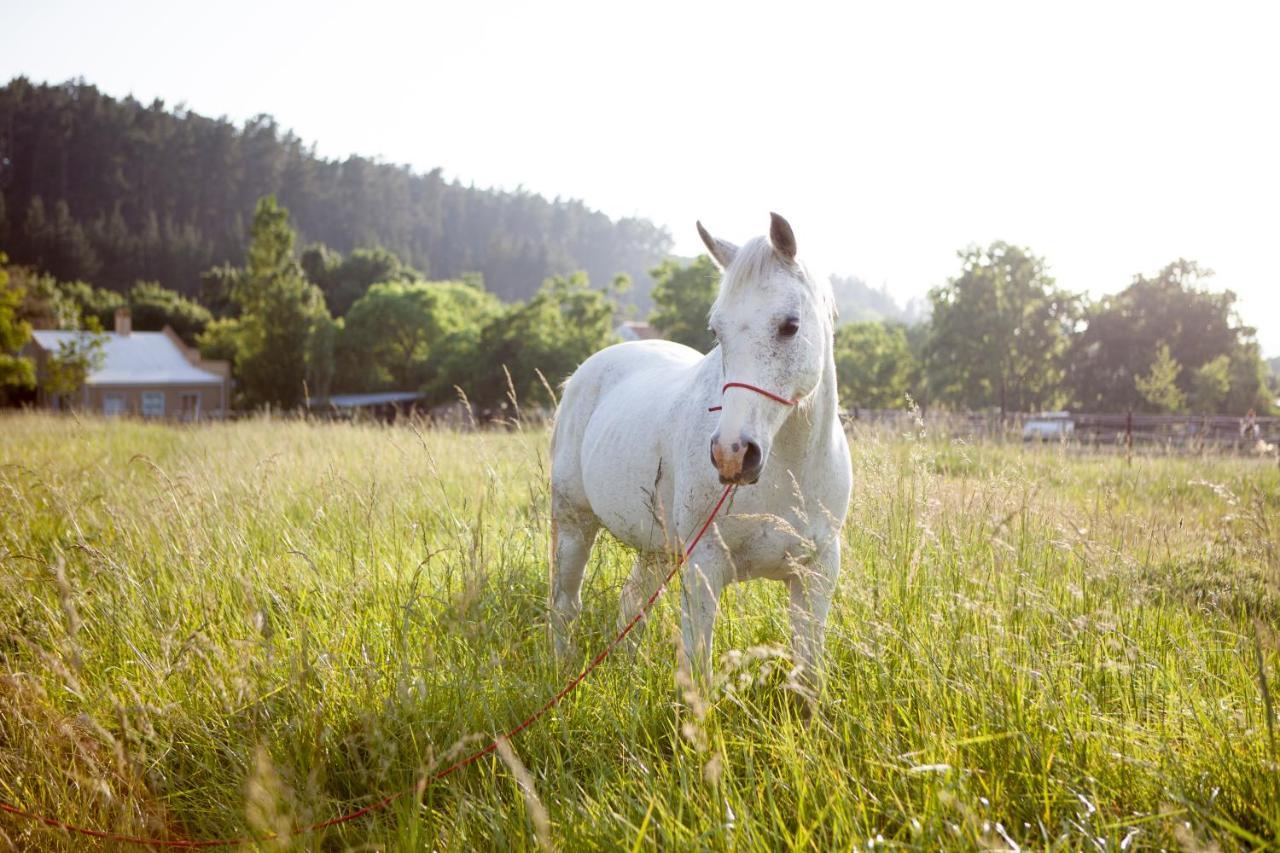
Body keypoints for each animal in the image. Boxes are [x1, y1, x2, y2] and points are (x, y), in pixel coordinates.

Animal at [550, 213, 849, 686]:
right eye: (716, 331)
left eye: (790, 325)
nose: (732, 454)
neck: (789, 470)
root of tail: (586, 370)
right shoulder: (703, 568)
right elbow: (700, 675)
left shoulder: (816, 574)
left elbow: (809, 675)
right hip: (573, 523)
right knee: (565, 604)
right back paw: (562, 668)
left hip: (656, 548)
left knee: (630, 601)